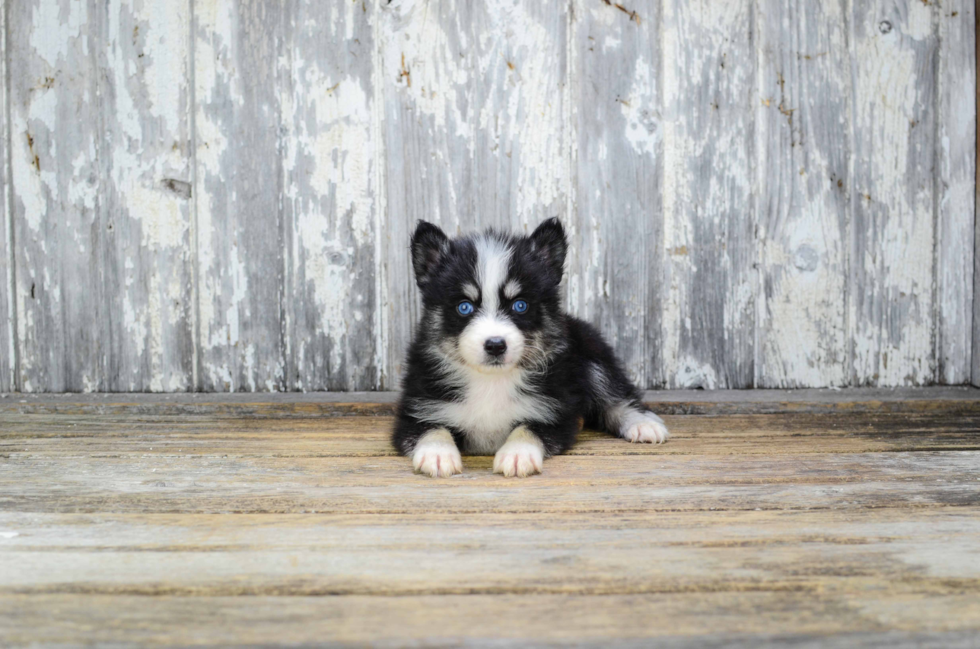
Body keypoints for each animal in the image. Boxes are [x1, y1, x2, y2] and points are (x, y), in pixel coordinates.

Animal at [394, 218, 668, 476]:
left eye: (520, 305)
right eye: (464, 307)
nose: (495, 345)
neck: (491, 380)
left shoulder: (554, 410)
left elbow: (528, 428)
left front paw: (518, 454)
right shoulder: (418, 408)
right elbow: (432, 428)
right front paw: (437, 454)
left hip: (592, 355)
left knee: (615, 394)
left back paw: (643, 424)